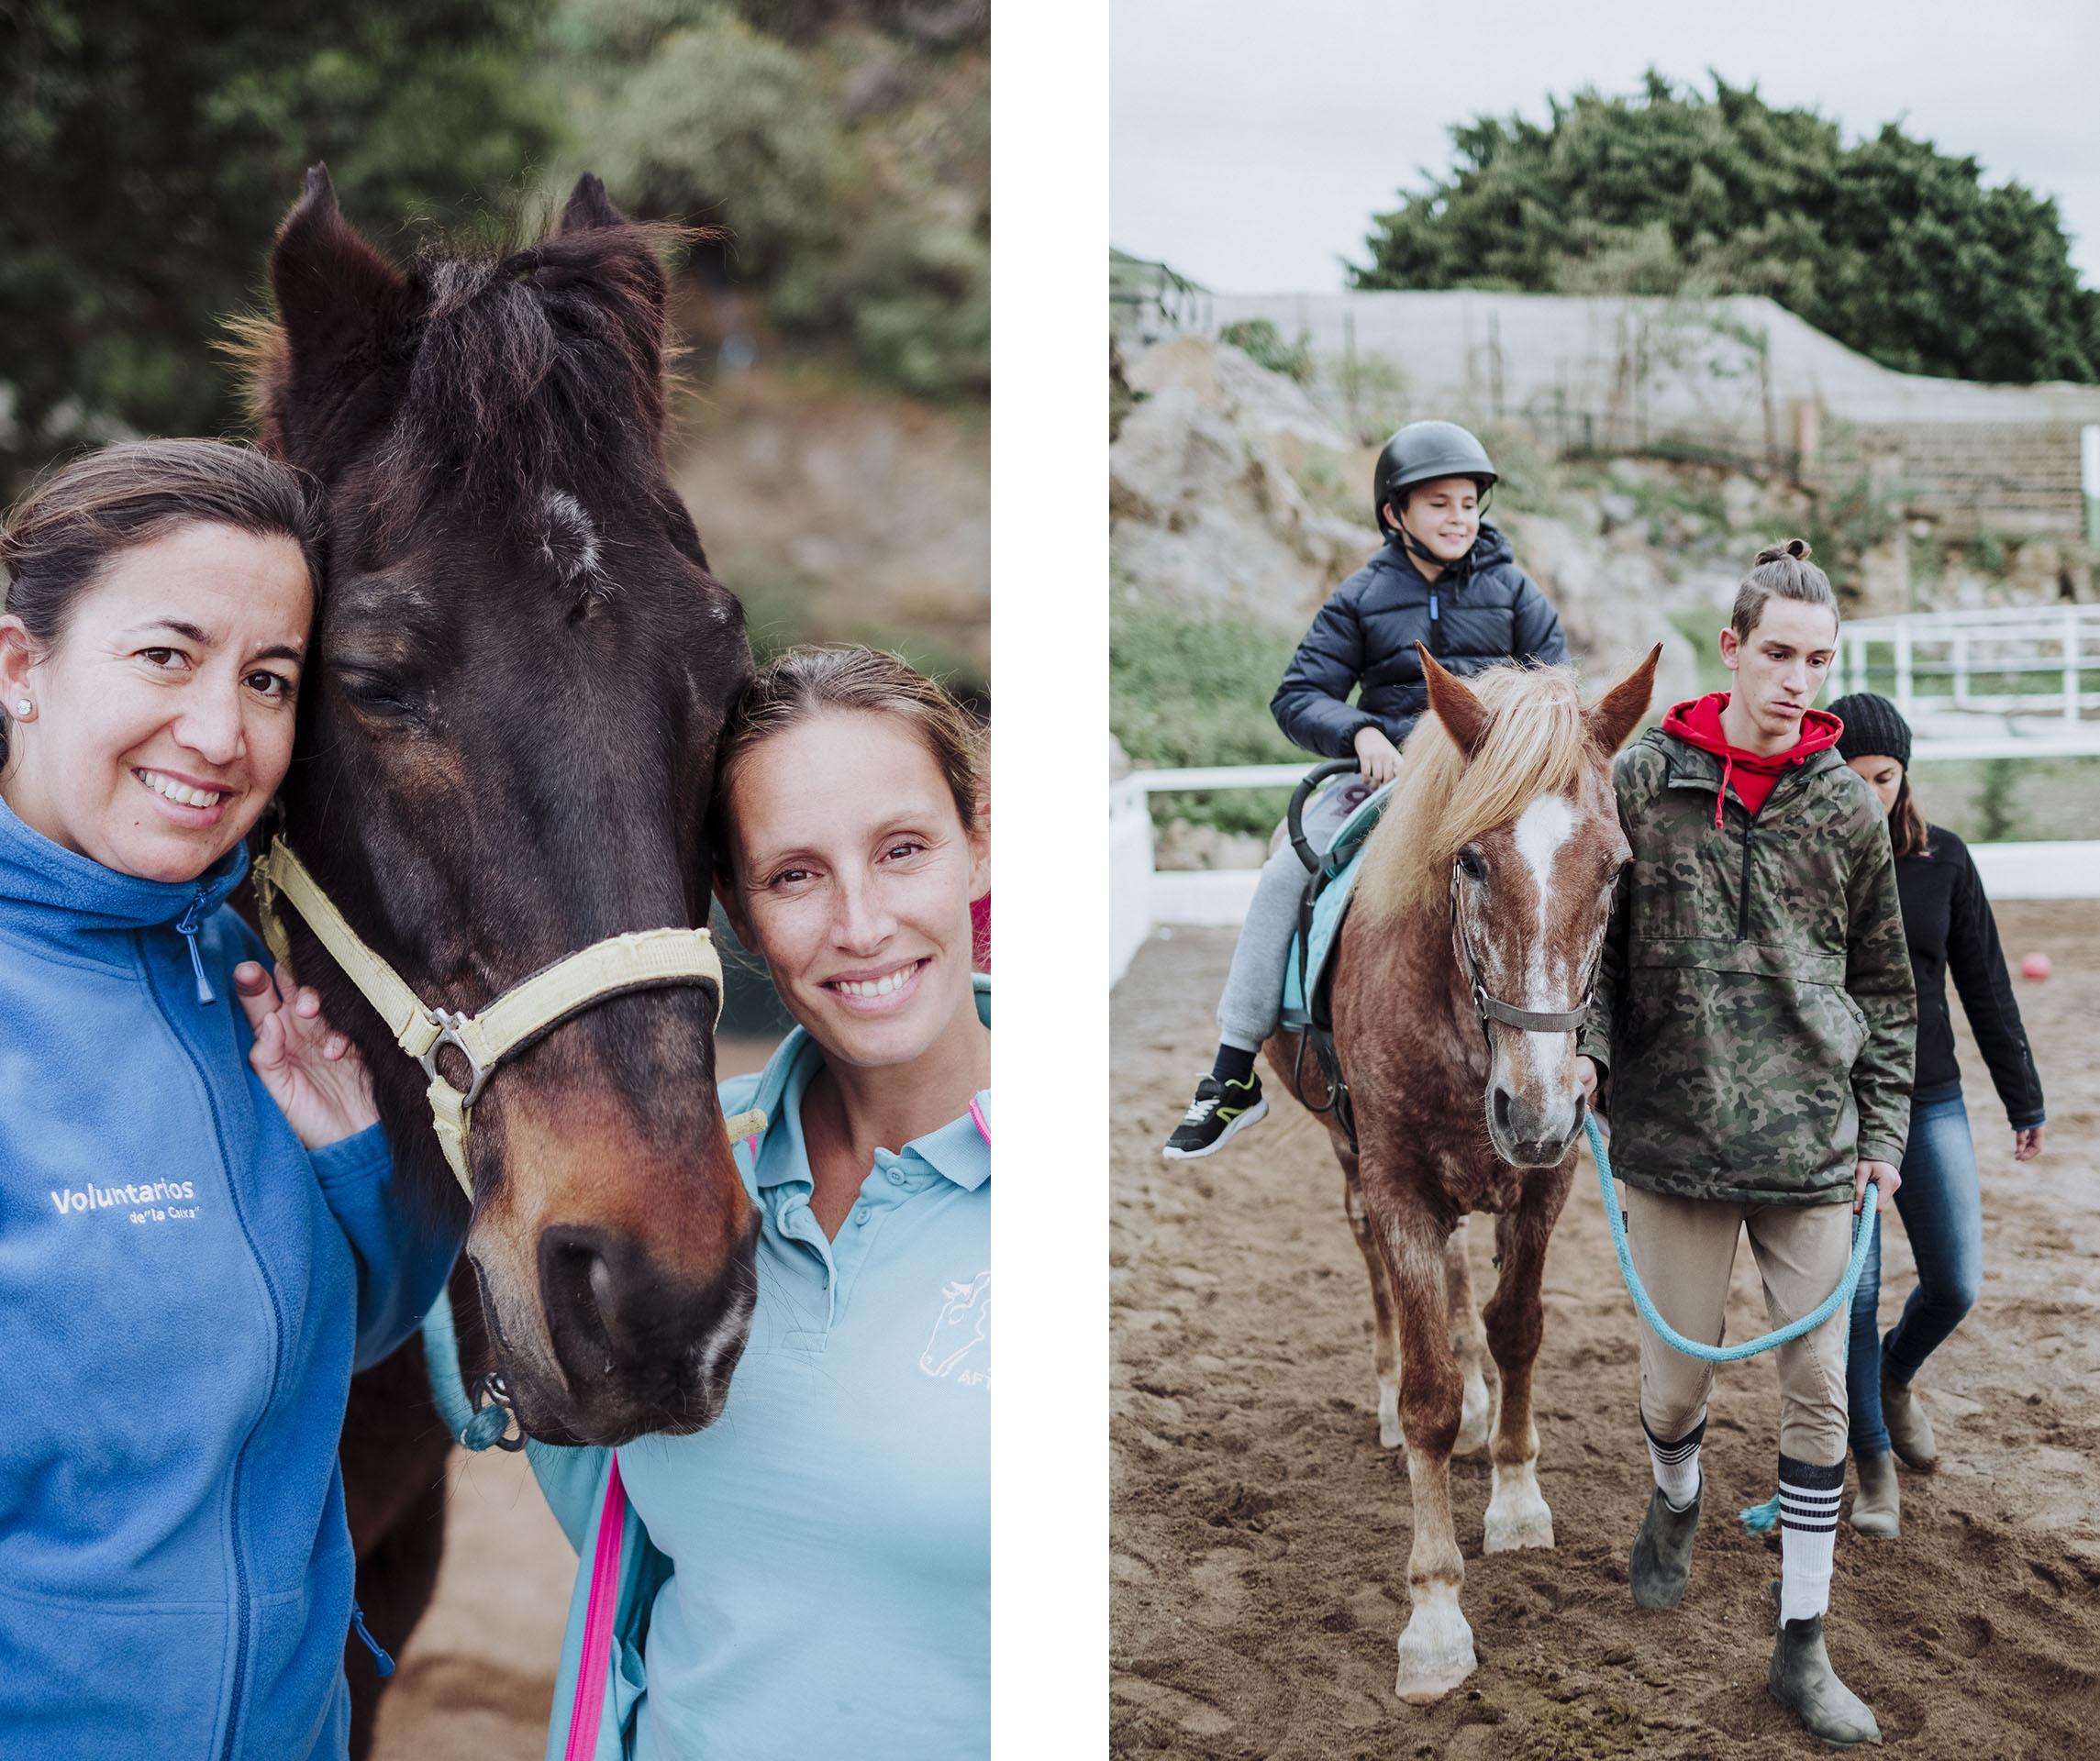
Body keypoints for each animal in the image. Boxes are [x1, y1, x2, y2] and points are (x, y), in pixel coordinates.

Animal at [1260, 646, 1654, 1704]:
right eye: (1470, 860)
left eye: (1616, 868)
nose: (1537, 1106)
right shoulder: (1398, 1181)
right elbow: (1427, 1395)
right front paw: (1434, 1618)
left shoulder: (1547, 1183)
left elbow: (1514, 1330)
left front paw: (1515, 1496)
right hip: (1357, 1161)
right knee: (1384, 1272)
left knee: (1459, 1283)